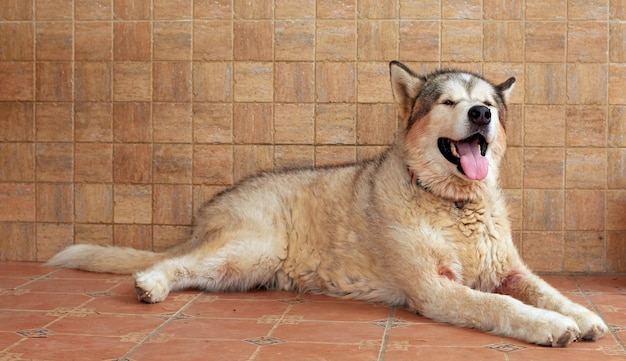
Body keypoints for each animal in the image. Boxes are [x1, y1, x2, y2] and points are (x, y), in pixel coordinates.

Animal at [47, 62, 604, 346]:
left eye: (486, 102)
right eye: (448, 102)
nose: (481, 114)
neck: (454, 205)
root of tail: (212, 209)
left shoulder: (510, 270)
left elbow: (547, 291)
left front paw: (583, 315)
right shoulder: (436, 290)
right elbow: (503, 305)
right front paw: (553, 327)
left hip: (244, 273)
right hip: (250, 251)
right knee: (175, 265)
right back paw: (150, 284)